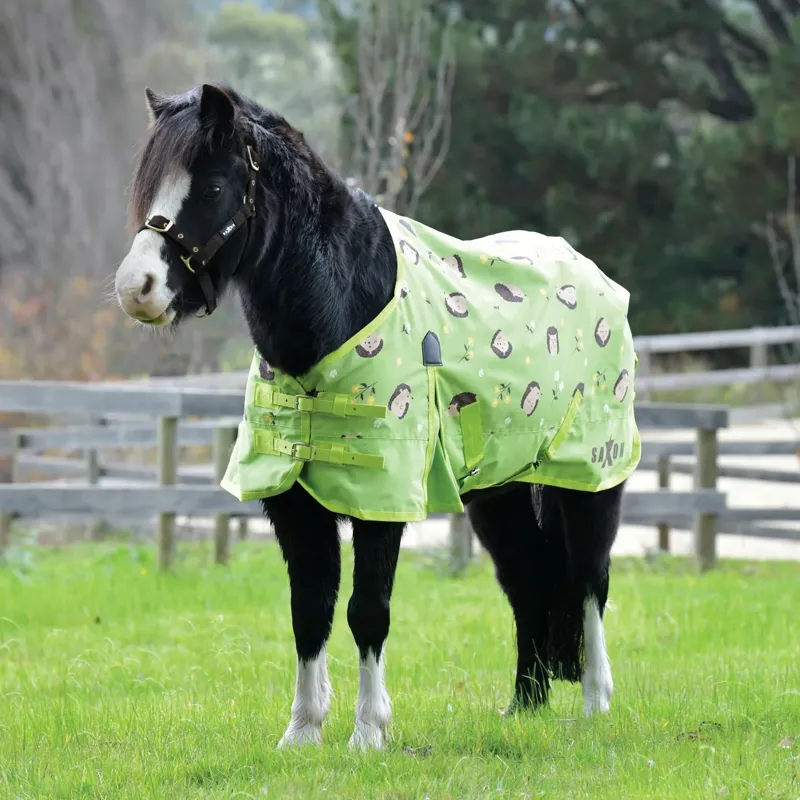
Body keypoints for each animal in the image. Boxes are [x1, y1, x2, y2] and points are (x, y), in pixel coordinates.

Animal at [114, 83, 633, 750]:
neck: (341, 305)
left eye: (211, 188)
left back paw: (594, 702)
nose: (137, 287)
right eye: (150, 188)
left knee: (591, 578)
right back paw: (524, 706)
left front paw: (368, 733)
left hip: (590, 479)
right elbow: (309, 610)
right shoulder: (294, 503)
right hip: (500, 493)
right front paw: (302, 732)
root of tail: (589, 273)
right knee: (527, 579)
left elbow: (367, 611)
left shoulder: (381, 500)